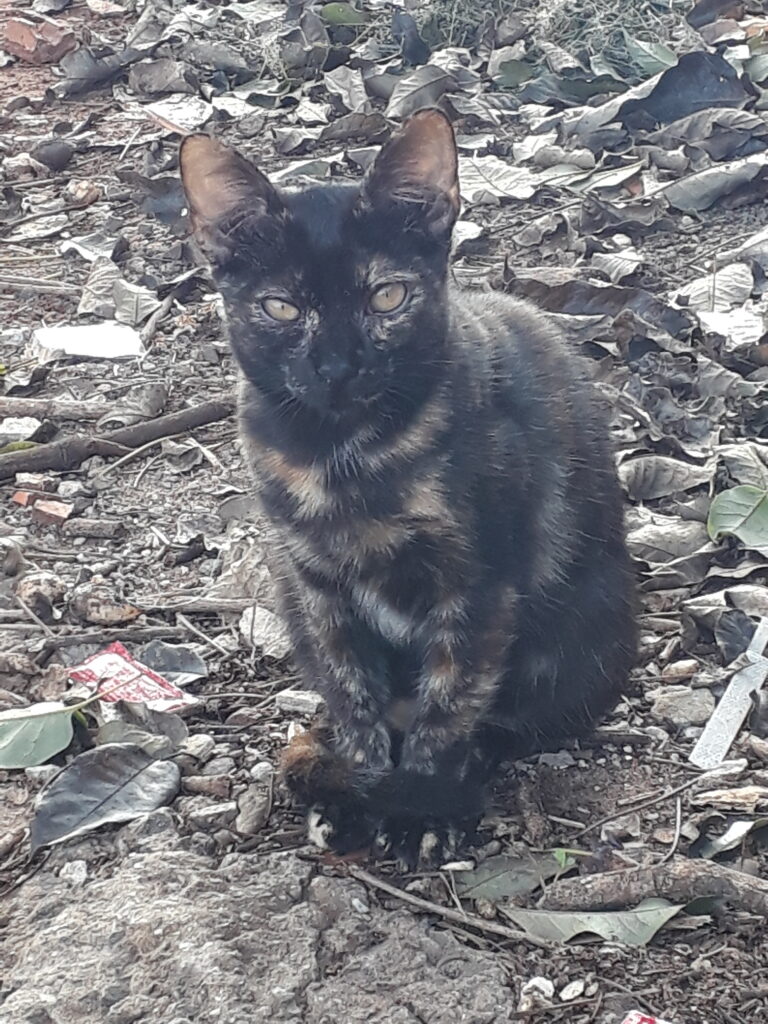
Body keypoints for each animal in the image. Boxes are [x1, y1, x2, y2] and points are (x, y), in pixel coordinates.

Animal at [180, 110, 638, 864]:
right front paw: (360, 788)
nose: (336, 366)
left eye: (386, 297)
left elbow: (448, 706)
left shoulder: (477, 587)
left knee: (504, 723)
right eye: (281, 308)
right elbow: (352, 694)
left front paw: (419, 807)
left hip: (577, 642)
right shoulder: (318, 590)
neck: (343, 459)